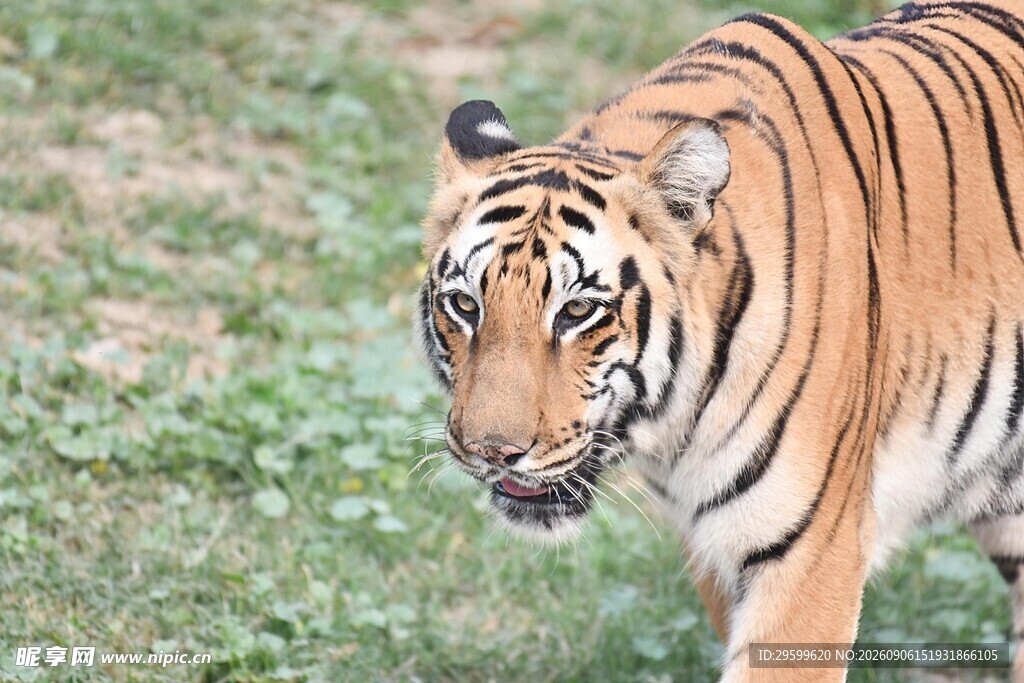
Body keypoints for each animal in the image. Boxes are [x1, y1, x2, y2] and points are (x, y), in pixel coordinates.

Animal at [413, 1, 1024, 680]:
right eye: (466, 305)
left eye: (576, 311)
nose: (492, 452)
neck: (676, 433)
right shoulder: (714, 549)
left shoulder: (813, 549)